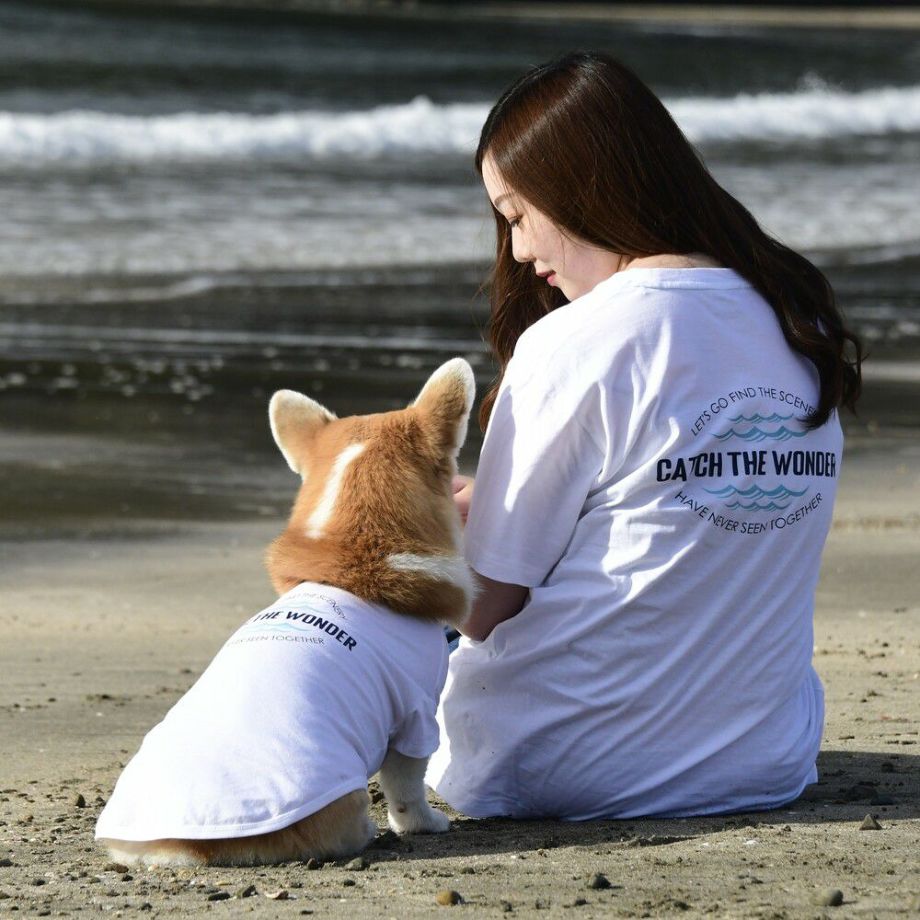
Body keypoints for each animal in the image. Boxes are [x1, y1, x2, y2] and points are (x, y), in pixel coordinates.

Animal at [95, 358, 476, 866]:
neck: (358, 553)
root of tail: (183, 844)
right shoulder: (415, 718)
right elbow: (407, 785)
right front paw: (425, 823)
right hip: (345, 797)